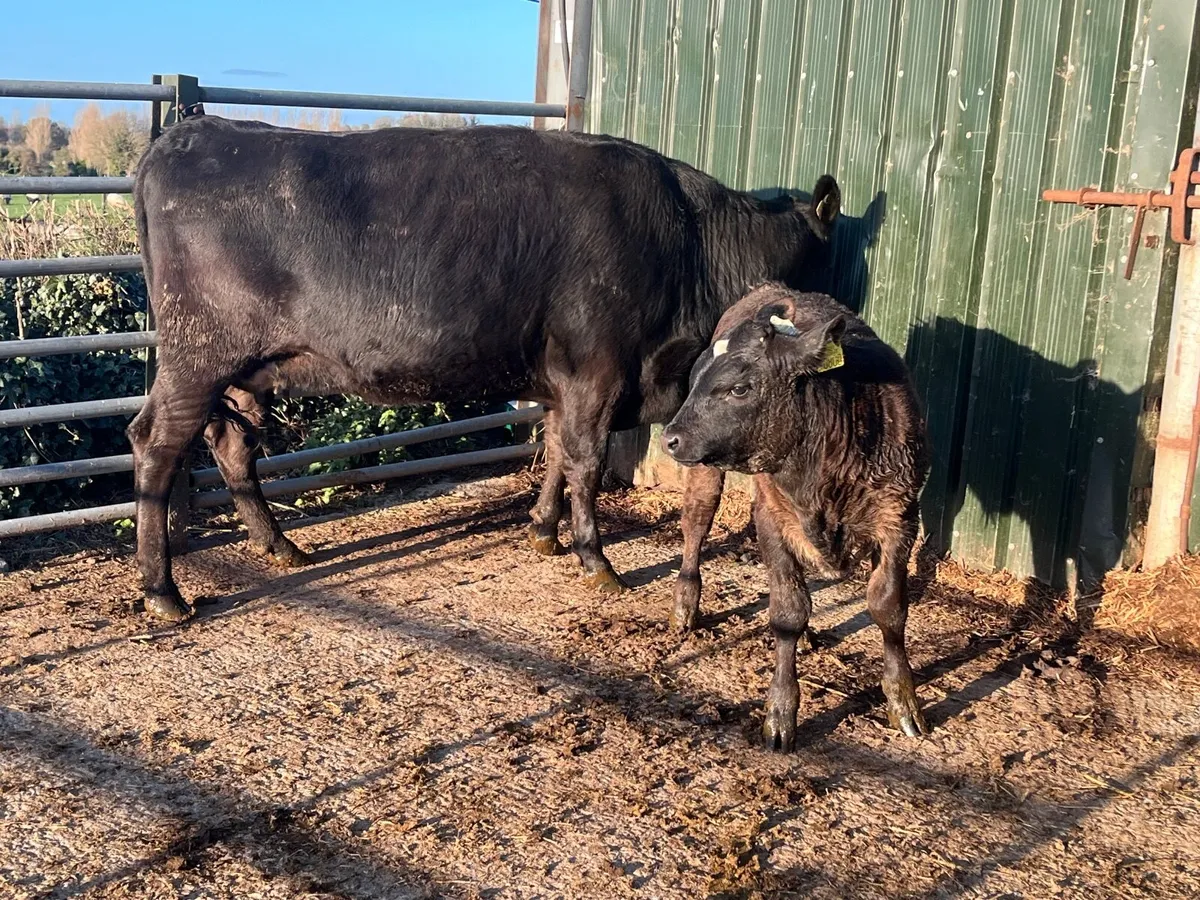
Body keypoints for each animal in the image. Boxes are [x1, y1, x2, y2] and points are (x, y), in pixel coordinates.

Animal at [130, 114, 841, 622]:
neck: (689, 238)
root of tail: (193, 132)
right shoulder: (597, 367)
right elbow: (585, 459)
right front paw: (595, 558)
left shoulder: (563, 378)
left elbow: (556, 450)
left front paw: (544, 530)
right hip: (197, 355)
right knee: (156, 445)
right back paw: (164, 591)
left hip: (238, 369)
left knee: (230, 443)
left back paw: (278, 545)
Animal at [661, 284, 930, 750]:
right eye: (695, 383)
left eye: (739, 388)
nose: (669, 437)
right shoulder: (772, 518)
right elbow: (787, 611)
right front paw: (780, 714)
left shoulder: (900, 517)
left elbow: (888, 607)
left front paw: (903, 702)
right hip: (704, 474)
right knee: (696, 521)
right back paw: (685, 604)